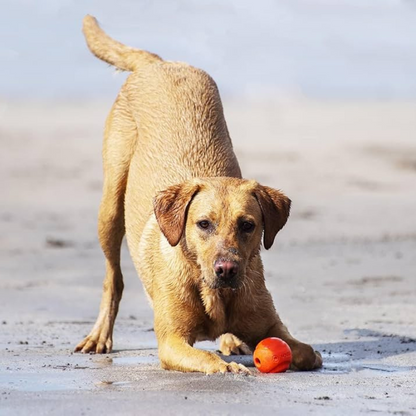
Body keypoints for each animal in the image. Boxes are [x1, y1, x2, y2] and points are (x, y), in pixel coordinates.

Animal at [75, 15, 322, 374]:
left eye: (248, 225)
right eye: (203, 224)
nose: (227, 269)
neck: (216, 295)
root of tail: (160, 63)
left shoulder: (271, 323)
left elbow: (305, 351)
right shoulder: (172, 341)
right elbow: (205, 357)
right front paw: (227, 367)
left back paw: (230, 339)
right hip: (109, 206)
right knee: (113, 279)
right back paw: (99, 335)